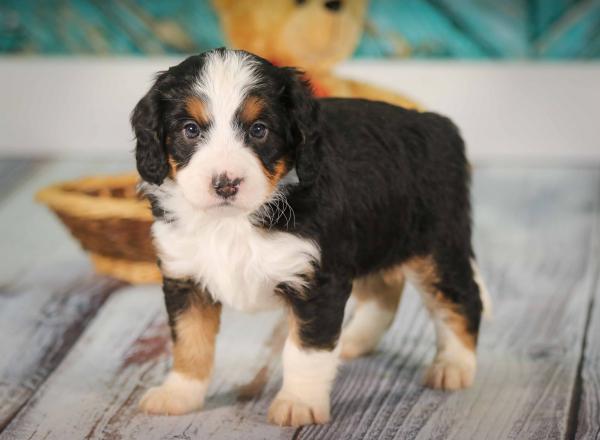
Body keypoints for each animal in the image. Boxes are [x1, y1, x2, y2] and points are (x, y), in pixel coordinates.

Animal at [130, 48, 488, 426]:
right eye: (190, 129)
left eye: (259, 130)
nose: (225, 183)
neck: (235, 222)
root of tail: (438, 124)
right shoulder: (186, 276)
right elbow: (189, 340)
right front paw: (179, 393)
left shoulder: (316, 280)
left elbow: (305, 350)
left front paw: (299, 402)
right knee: (385, 290)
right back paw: (354, 340)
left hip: (436, 247)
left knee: (462, 299)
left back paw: (453, 366)